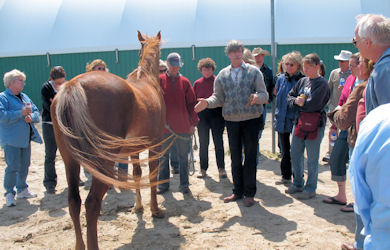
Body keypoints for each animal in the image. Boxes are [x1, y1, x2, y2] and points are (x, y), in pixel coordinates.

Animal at [51, 31, 166, 250]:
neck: (146, 80)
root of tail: (72, 85)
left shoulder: (134, 149)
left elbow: (137, 175)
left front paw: (139, 207)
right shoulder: (156, 146)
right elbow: (153, 176)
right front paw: (155, 210)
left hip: (70, 160)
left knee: (74, 201)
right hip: (102, 163)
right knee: (92, 204)